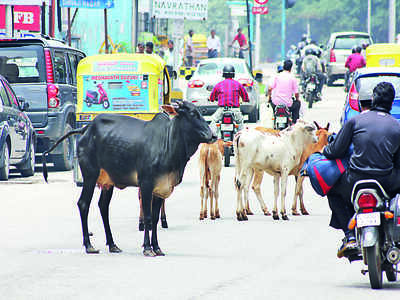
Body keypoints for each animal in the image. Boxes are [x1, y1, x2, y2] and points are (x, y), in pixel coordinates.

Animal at [43, 101, 216, 255]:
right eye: (192, 114)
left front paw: (157, 248)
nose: (213, 135)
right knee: (83, 203)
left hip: (107, 183)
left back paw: (112, 244)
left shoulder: (160, 189)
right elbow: (147, 216)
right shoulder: (146, 185)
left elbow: (155, 218)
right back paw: (89, 245)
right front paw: (147, 248)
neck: (168, 144)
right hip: (90, 175)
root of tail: (86, 128)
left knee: (103, 206)